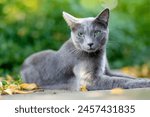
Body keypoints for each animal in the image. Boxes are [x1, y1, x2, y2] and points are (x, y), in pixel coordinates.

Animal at [20, 8, 150, 90]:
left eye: (97, 32)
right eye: (80, 34)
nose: (90, 43)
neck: (100, 55)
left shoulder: (108, 71)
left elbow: (126, 76)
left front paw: (142, 78)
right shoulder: (89, 80)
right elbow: (118, 80)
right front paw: (144, 82)